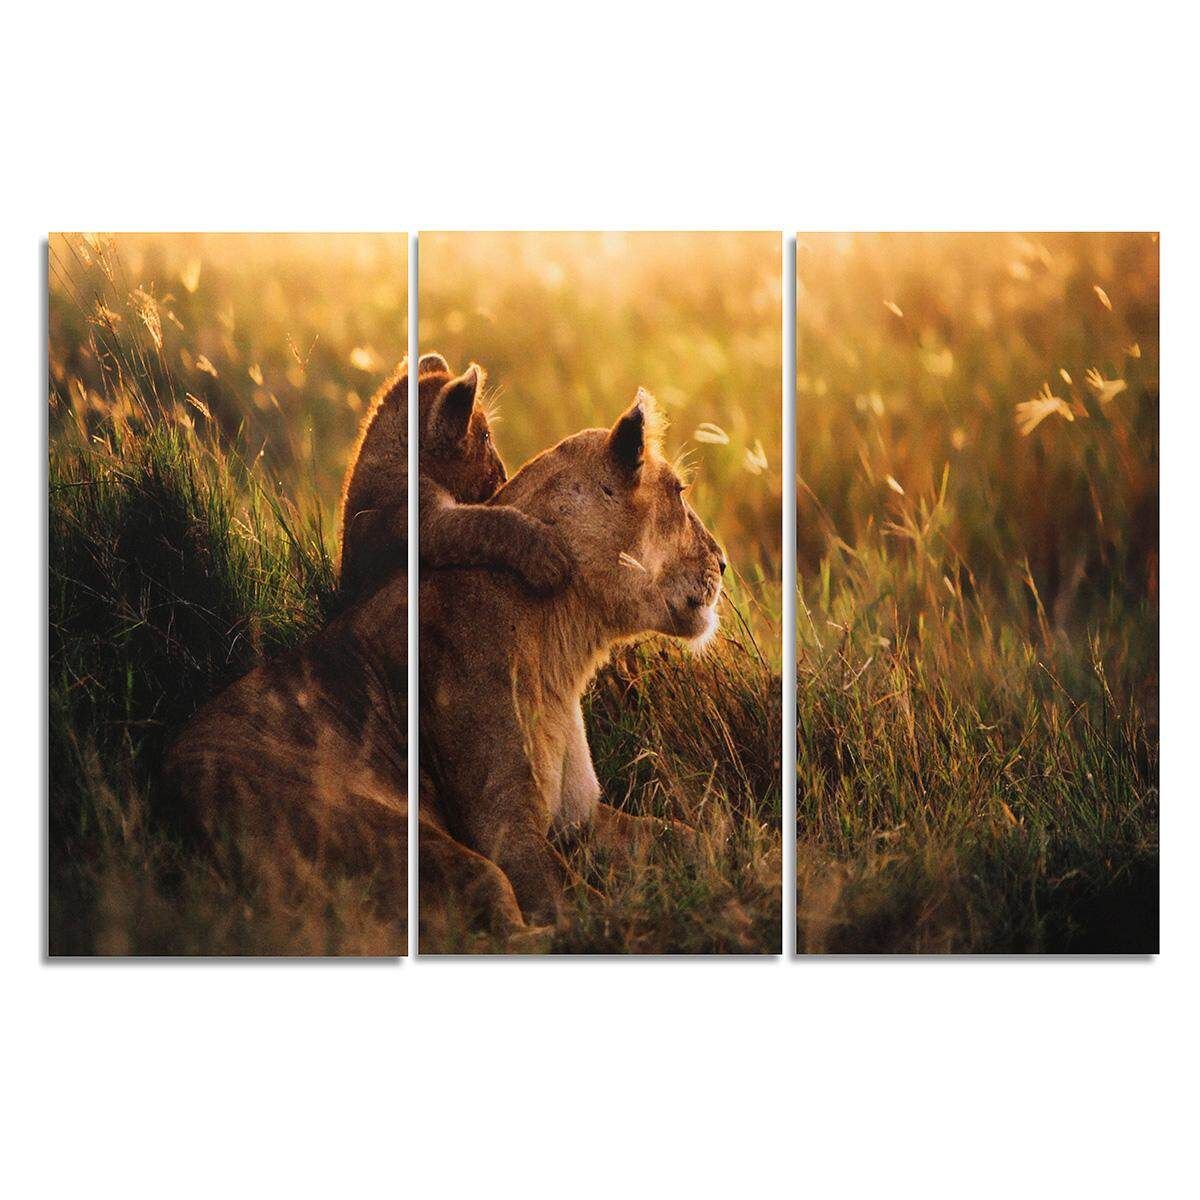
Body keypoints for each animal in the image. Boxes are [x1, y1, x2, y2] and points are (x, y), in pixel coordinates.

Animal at [419, 388, 726, 934]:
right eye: (680, 492)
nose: (725, 563)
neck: (561, 647)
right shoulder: (506, 832)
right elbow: (590, 912)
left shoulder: (582, 815)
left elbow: (685, 836)